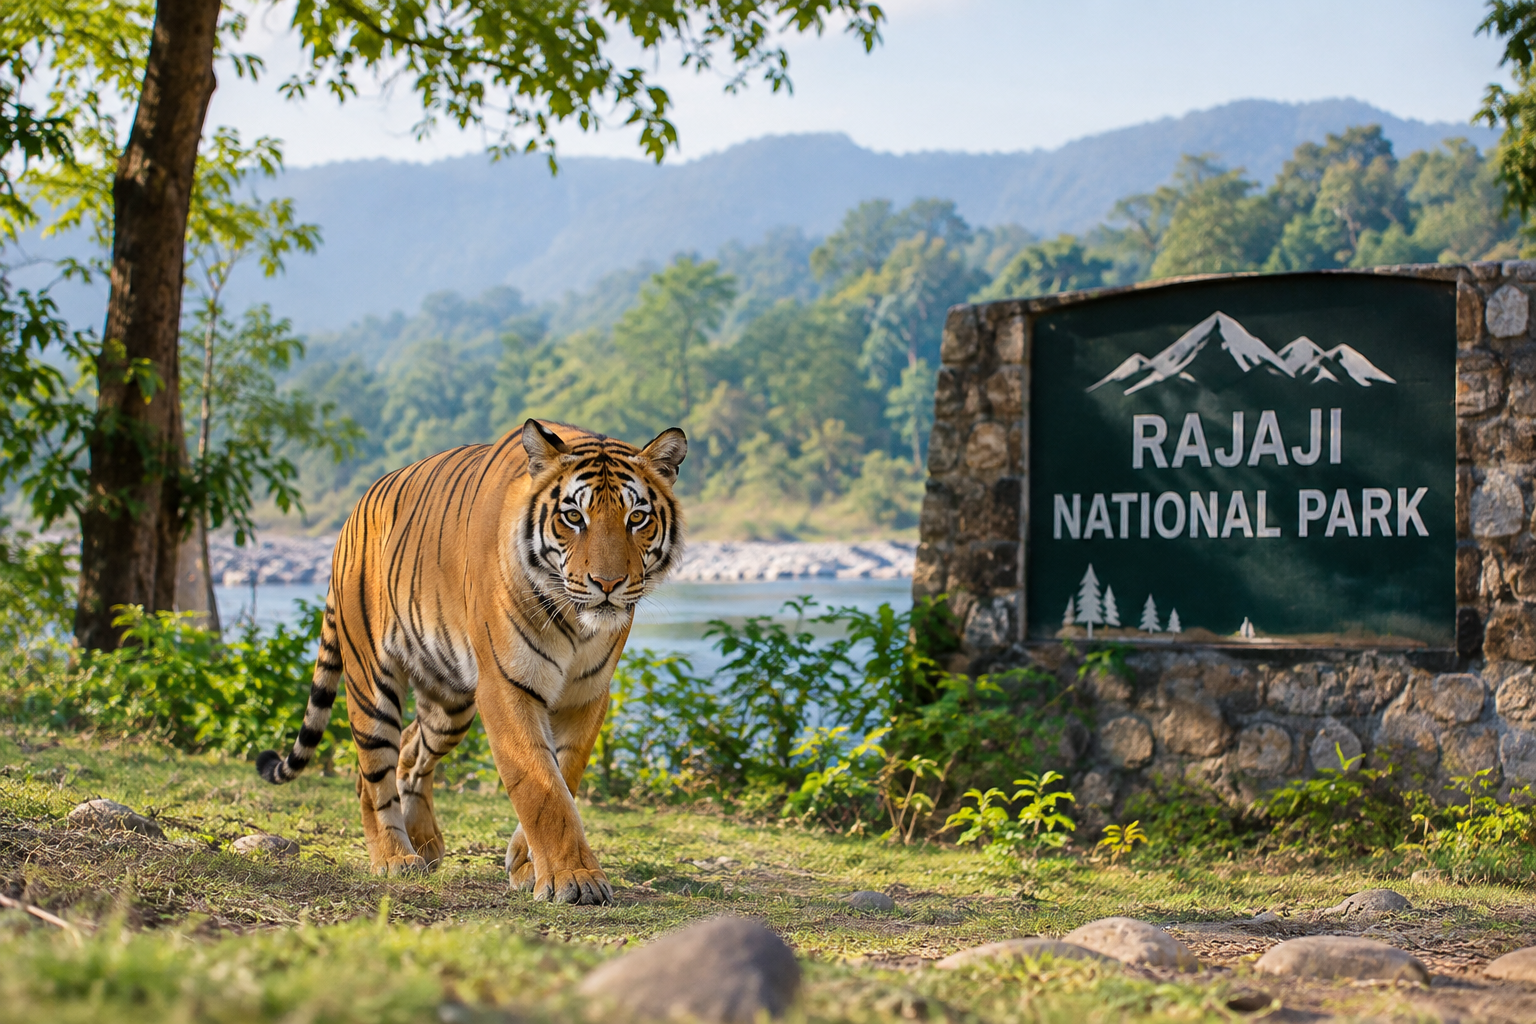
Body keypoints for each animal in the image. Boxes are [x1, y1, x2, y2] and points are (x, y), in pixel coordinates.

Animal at [256, 419, 686, 905]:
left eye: (637, 518)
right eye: (574, 517)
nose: (608, 584)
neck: (576, 624)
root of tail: (350, 520)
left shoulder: (587, 693)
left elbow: (566, 776)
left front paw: (527, 863)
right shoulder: (505, 685)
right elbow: (540, 786)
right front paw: (574, 878)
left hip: (450, 704)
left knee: (412, 751)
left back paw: (424, 842)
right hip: (371, 683)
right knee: (373, 773)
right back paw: (394, 857)